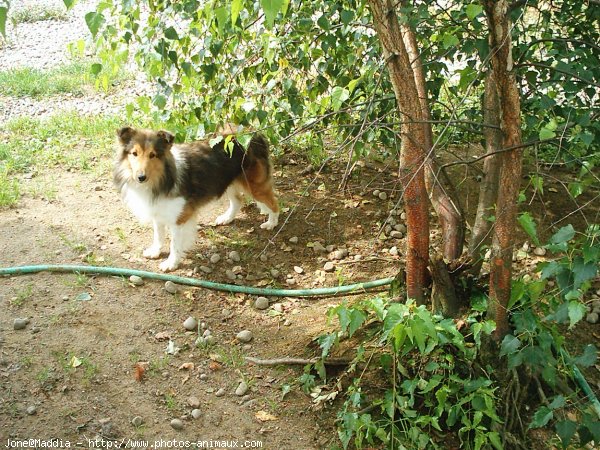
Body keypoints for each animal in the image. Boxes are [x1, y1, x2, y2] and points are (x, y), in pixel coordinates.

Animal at [114, 126, 278, 270]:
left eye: (152, 155)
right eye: (134, 153)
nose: (140, 177)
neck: (162, 179)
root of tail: (255, 134)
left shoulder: (179, 217)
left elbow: (174, 243)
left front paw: (171, 263)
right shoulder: (158, 210)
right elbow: (158, 235)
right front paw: (155, 251)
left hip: (255, 185)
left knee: (274, 203)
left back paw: (271, 223)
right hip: (225, 181)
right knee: (238, 200)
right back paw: (227, 218)